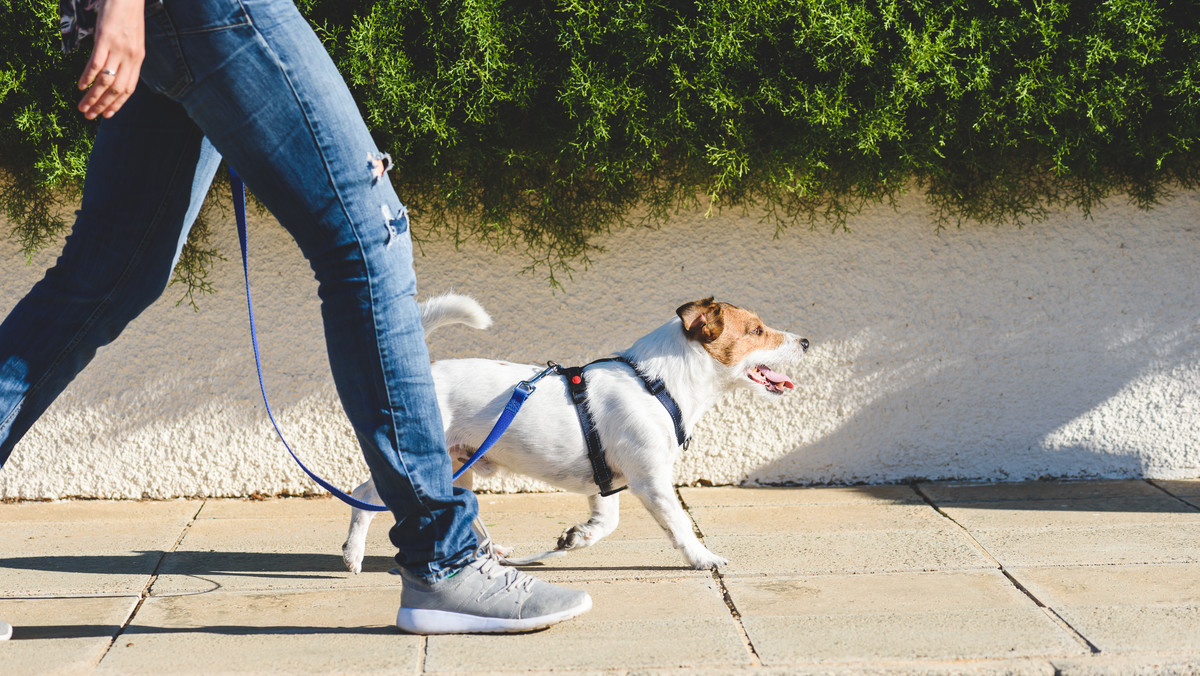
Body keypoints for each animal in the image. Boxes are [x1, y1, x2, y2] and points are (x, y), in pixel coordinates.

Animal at [340, 291, 806, 571]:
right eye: (757, 330)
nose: (804, 341)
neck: (658, 383)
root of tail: (424, 374)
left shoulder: (607, 482)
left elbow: (605, 523)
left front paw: (576, 537)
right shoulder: (651, 481)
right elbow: (679, 526)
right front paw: (703, 557)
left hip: (460, 466)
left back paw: (492, 552)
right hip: (421, 462)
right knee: (364, 495)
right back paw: (353, 554)